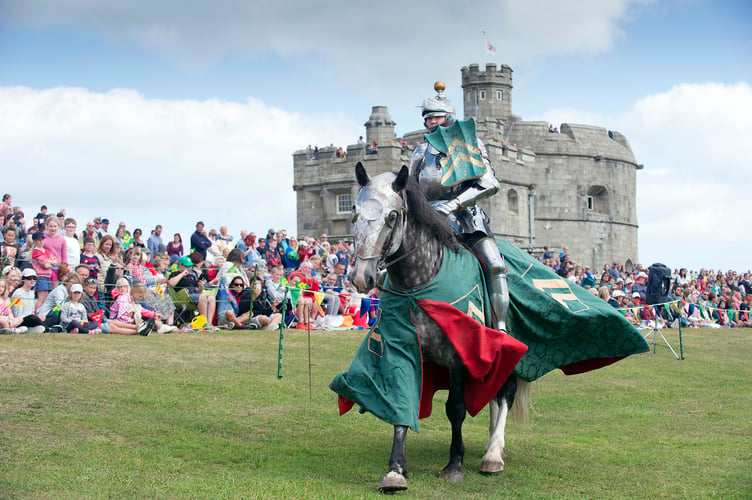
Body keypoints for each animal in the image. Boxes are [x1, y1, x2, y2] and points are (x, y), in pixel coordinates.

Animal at [346, 163, 528, 492]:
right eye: (354, 211)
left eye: (392, 216)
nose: (362, 277)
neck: (420, 281)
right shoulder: (401, 350)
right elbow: (400, 401)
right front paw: (396, 470)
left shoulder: (459, 356)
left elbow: (455, 409)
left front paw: (454, 464)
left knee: (505, 391)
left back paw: (494, 454)